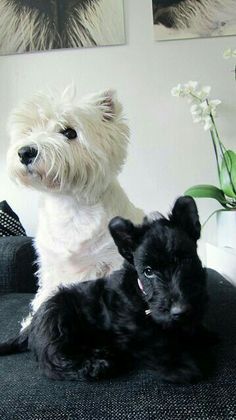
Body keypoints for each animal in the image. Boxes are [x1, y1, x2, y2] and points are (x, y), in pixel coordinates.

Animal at [0, 197, 214, 384]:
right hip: (57, 319)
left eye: (187, 260)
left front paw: (201, 332)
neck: (140, 292)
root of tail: (31, 326)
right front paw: (180, 367)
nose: (181, 311)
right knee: (51, 361)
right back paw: (96, 366)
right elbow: (155, 341)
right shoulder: (131, 326)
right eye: (148, 271)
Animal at [6, 87, 144, 326]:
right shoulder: (52, 266)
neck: (70, 206)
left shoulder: (113, 261)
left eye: (70, 133)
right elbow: (46, 294)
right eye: (30, 130)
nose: (25, 152)